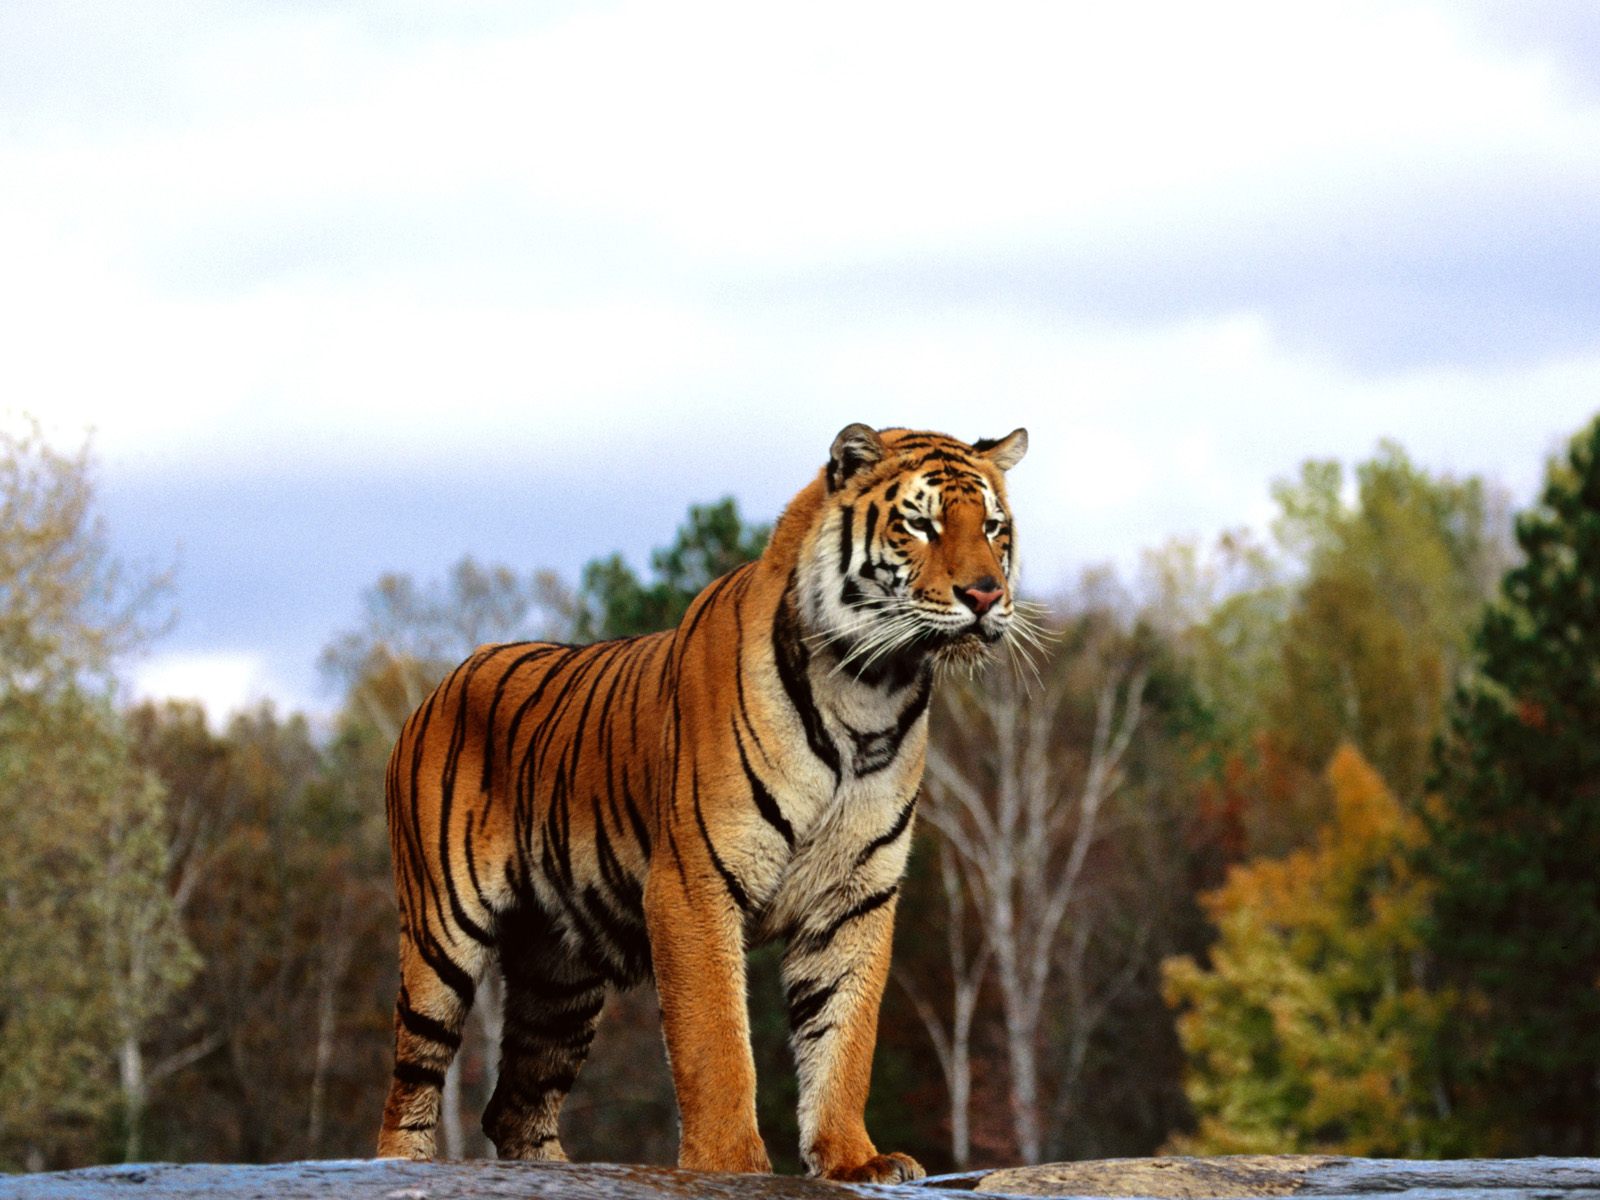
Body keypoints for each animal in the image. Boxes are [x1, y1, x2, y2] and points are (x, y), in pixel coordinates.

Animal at [374, 425, 1024, 1184]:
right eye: (921, 525)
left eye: (993, 528)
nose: (985, 594)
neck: (870, 692)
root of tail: (439, 683)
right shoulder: (694, 883)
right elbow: (716, 1041)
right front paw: (729, 1163)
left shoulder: (856, 897)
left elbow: (844, 1035)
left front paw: (854, 1159)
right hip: (441, 934)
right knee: (410, 1086)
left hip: (559, 974)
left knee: (516, 1103)